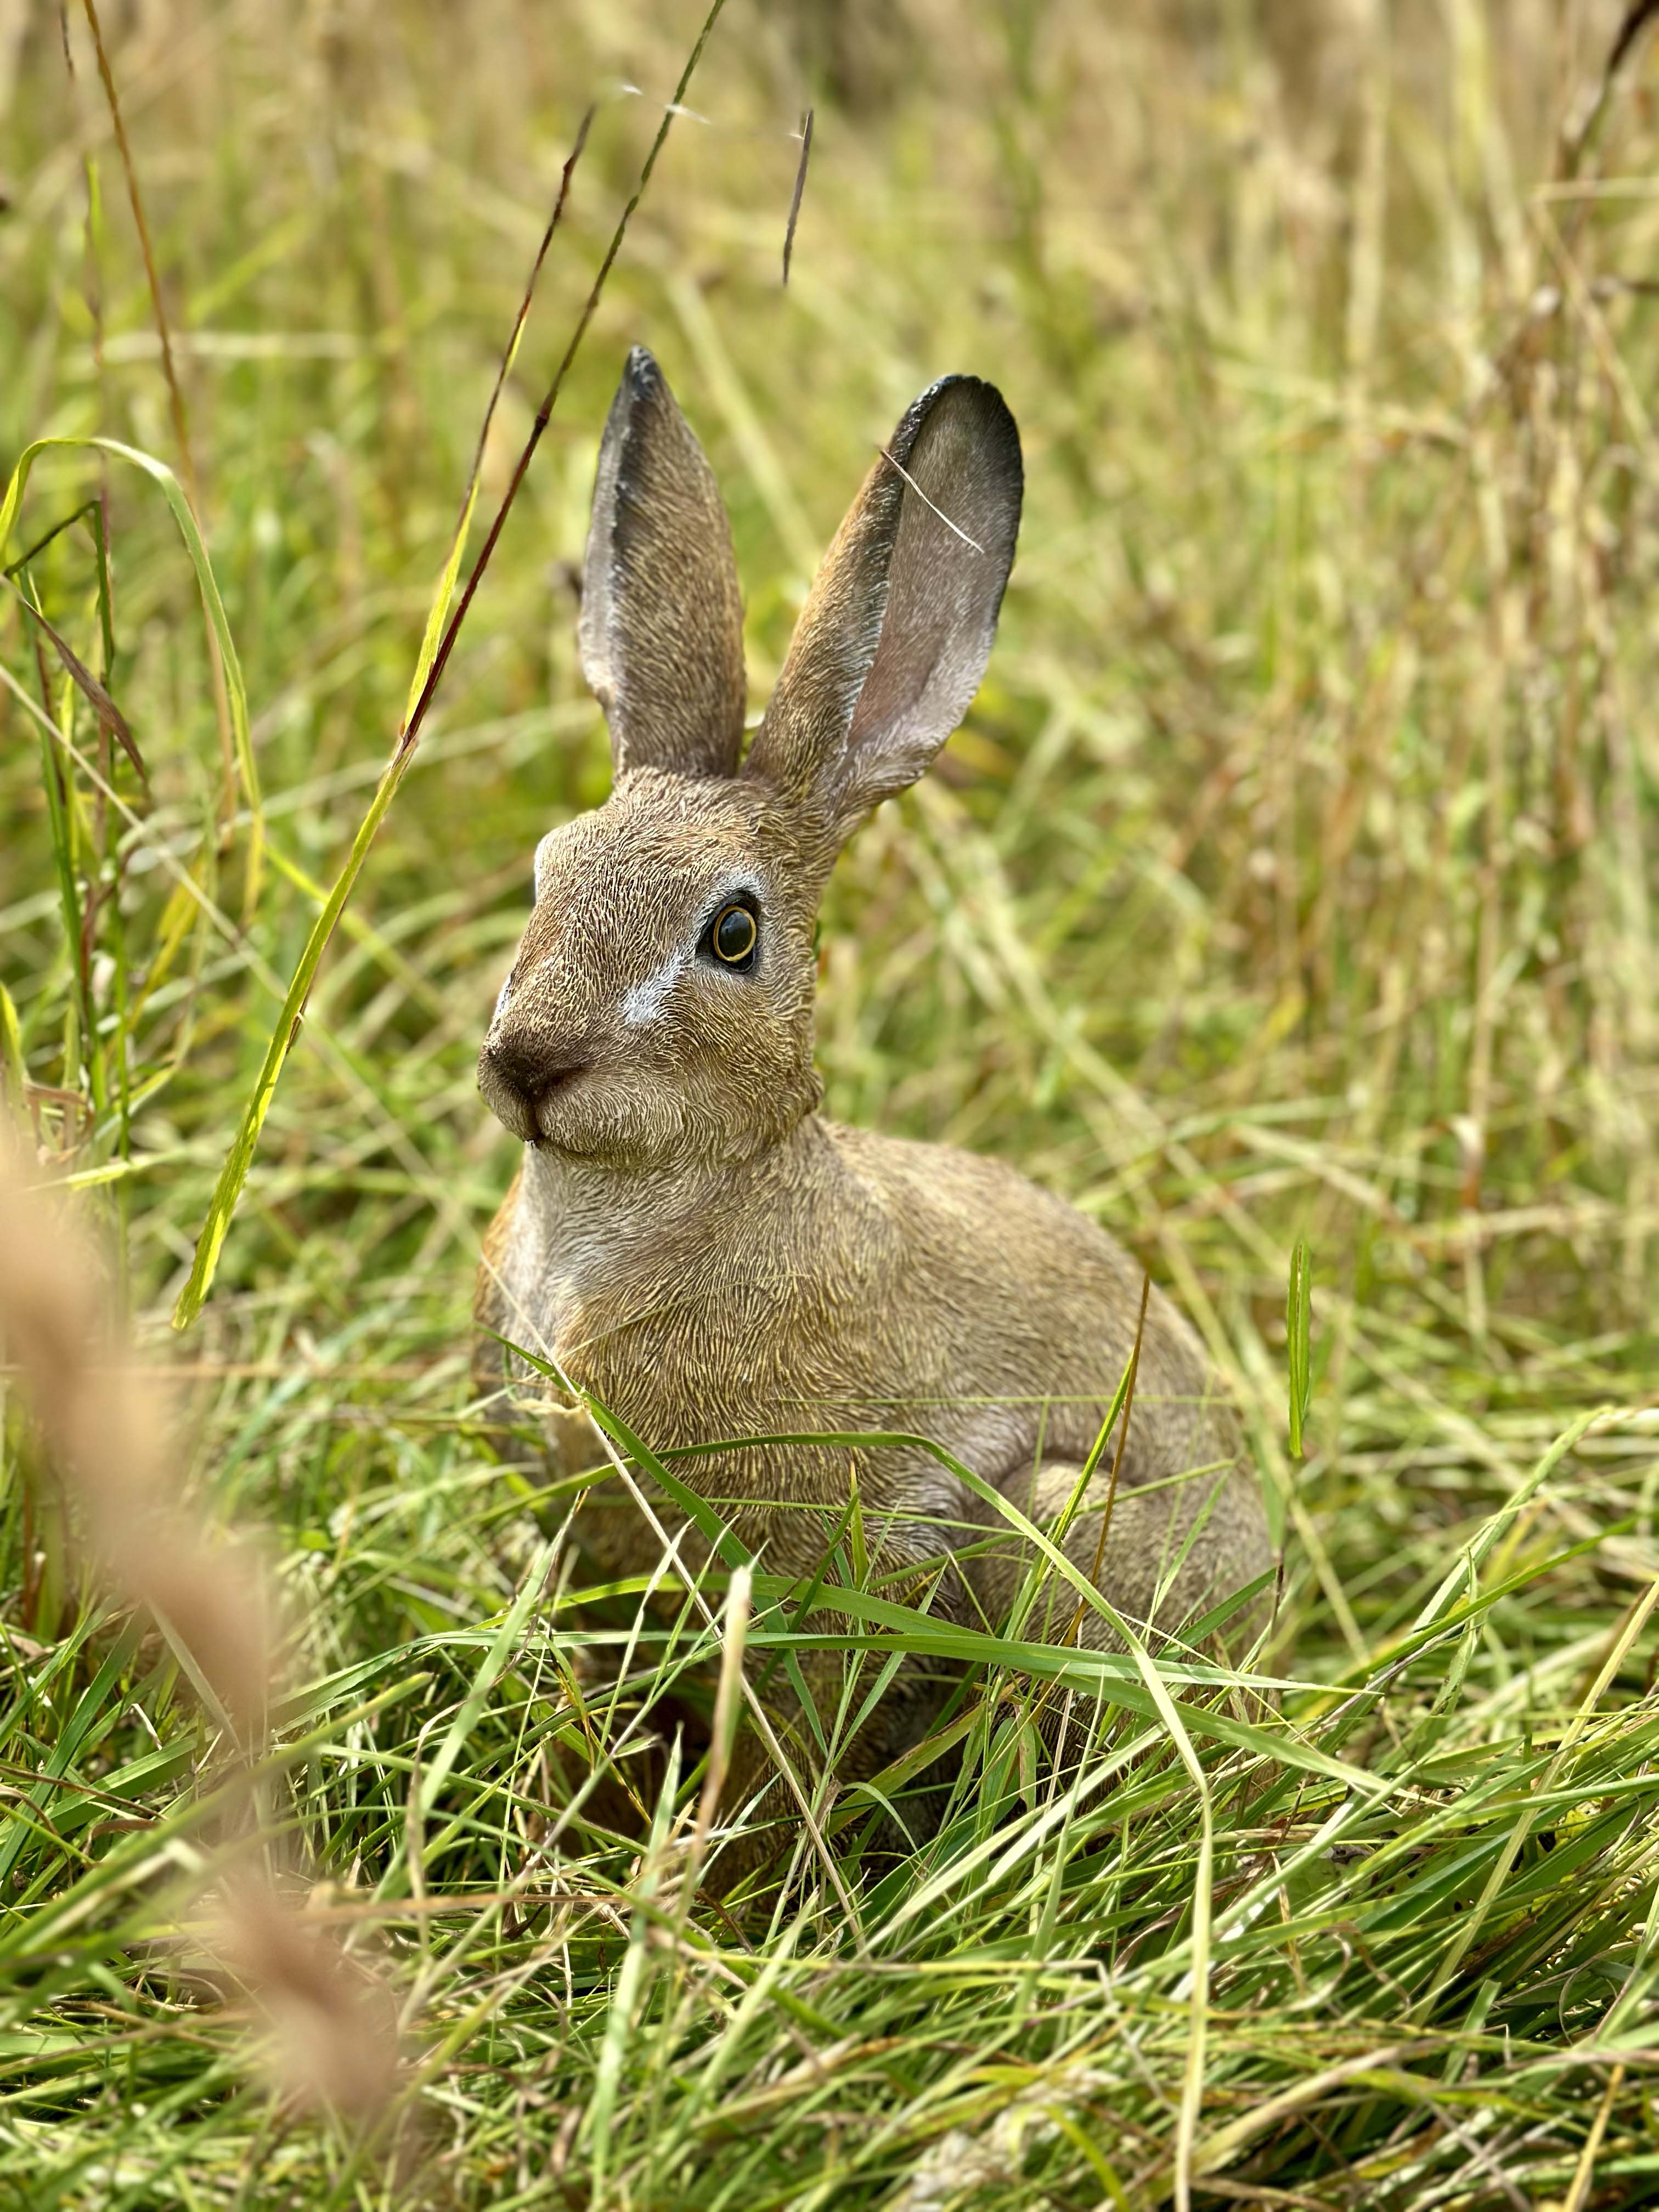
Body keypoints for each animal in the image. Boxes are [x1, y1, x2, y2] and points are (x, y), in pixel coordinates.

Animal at [474, 346, 1271, 1858]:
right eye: (548, 866)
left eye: (734, 933)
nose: (527, 1063)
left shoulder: (852, 1546)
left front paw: (729, 1879)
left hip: (1060, 1535)